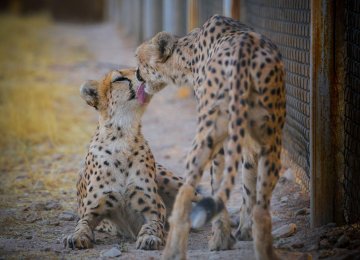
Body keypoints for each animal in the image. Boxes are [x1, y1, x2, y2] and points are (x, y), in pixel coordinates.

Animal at [64, 68, 200, 250]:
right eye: (119, 79)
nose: (140, 74)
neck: (123, 136)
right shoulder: (92, 210)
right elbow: (82, 224)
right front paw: (76, 237)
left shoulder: (154, 208)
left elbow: (153, 225)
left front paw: (149, 237)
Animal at [136, 14, 286, 260]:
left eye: (139, 60)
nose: (136, 74)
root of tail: (245, 48)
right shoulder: (250, 141)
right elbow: (248, 184)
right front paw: (244, 231)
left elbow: (217, 184)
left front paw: (222, 238)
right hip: (273, 139)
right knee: (262, 208)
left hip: (206, 138)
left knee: (186, 194)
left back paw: (175, 250)